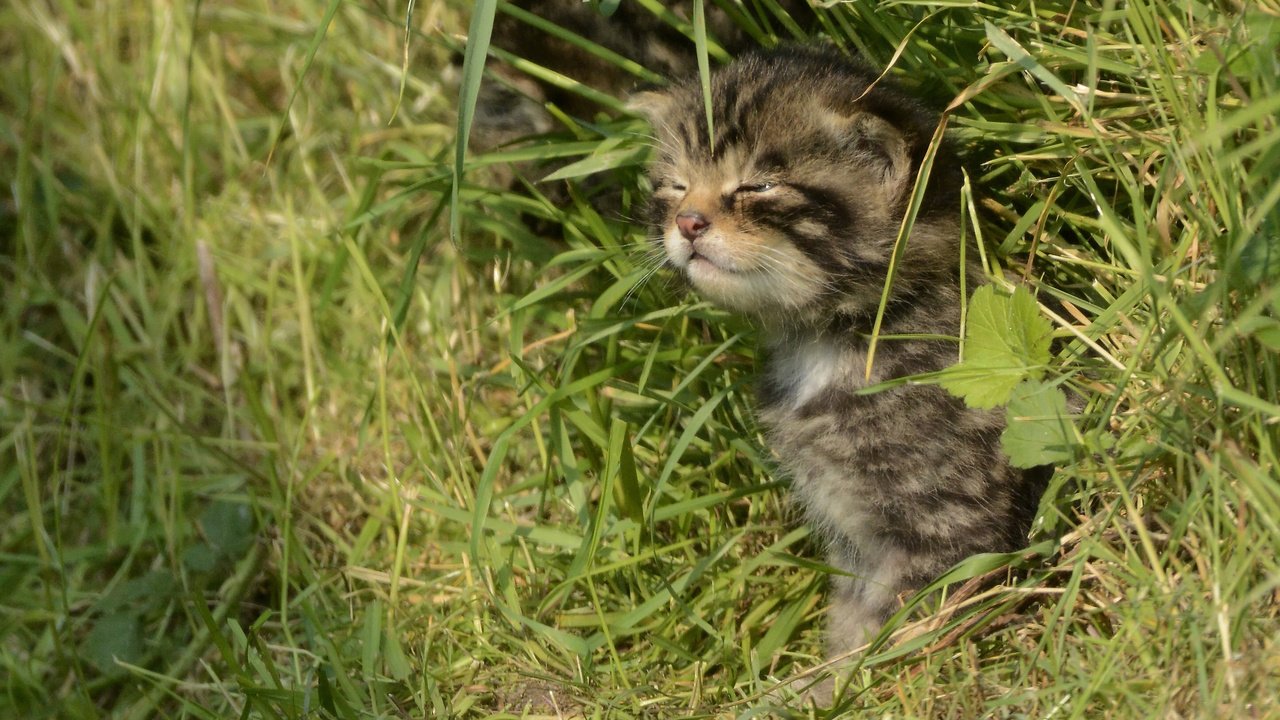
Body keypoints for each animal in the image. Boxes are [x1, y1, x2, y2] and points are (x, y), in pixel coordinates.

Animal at [632, 44, 1049, 661]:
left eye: (759, 187)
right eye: (677, 186)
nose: (687, 222)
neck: (836, 339)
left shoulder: (951, 524)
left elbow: (892, 628)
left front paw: (852, 678)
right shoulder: (856, 543)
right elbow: (852, 618)